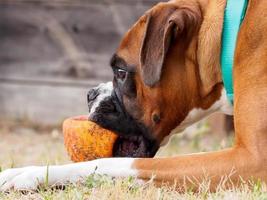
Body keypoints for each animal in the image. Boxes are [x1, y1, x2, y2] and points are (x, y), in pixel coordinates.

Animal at [0, 0, 267, 191]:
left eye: (120, 72)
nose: (90, 93)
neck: (228, 35)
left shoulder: (253, 159)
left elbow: (113, 162)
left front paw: (33, 173)